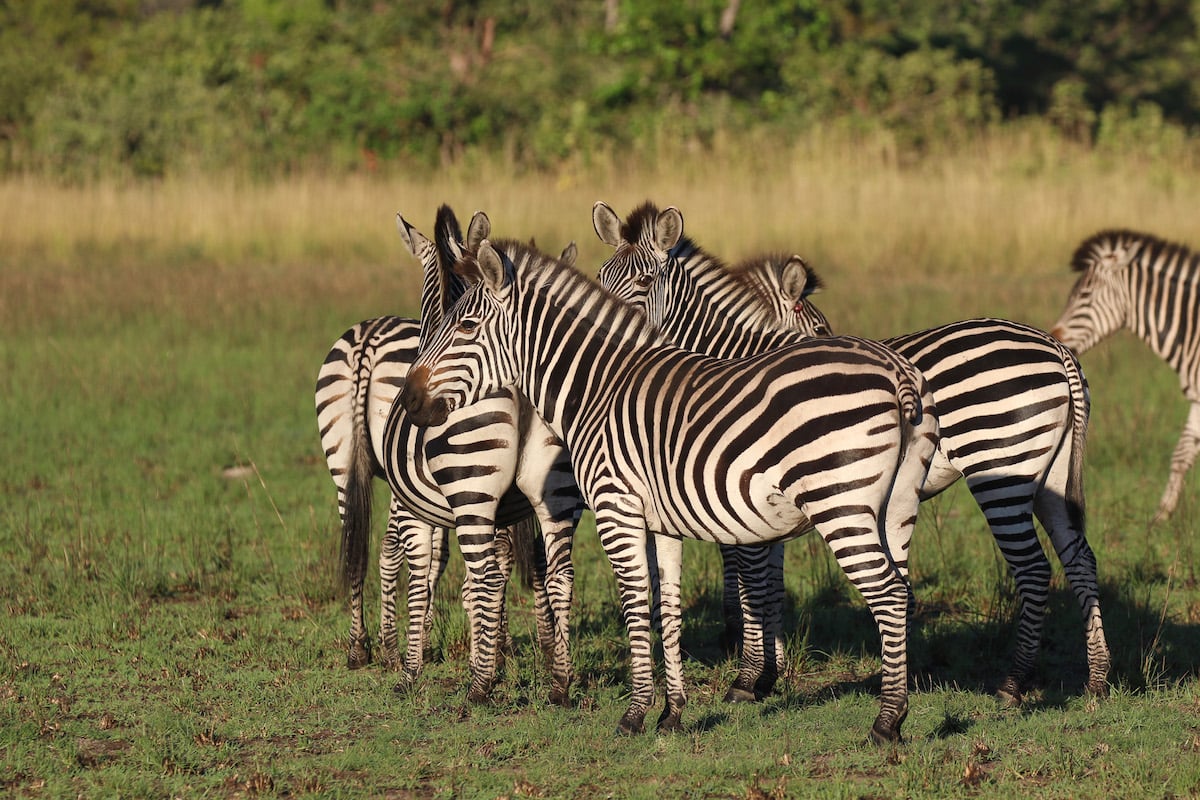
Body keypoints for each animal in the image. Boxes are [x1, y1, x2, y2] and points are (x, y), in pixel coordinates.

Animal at [314, 207, 582, 704]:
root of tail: (367, 340)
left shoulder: (428, 499)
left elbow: (426, 567)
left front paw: (418, 656)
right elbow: (497, 565)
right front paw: (496, 650)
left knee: (374, 548)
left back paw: (381, 650)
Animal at [399, 236, 939, 744]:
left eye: (467, 326)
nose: (407, 400)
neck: (598, 389)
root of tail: (897, 370)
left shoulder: (617, 508)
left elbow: (637, 602)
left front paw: (636, 713)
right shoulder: (663, 522)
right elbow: (669, 607)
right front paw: (673, 713)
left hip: (841, 503)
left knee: (888, 592)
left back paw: (887, 722)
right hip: (896, 508)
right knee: (902, 588)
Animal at [593, 201, 1110, 706]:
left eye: (643, 283)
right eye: (600, 277)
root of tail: (1057, 348)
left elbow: (750, 578)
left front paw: (748, 677)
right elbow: (771, 582)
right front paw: (770, 674)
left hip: (1000, 466)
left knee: (1035, 569)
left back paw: (1013, 683)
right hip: (1049, 474)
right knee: (1080, 558)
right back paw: (1097, 679)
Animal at [1051, 229, 1200, 523]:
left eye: (1085, 294)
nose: (1054, 336)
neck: (1193, 329)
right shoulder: (1198, 400)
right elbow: (1181, 455)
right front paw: (1161, 515)